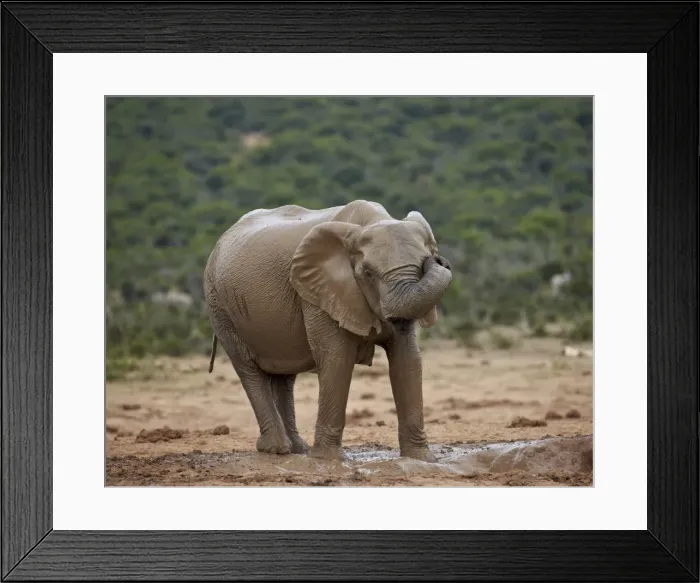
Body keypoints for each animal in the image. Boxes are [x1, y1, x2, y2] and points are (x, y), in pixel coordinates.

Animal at [203, 199, 453, 463]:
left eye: (422, 264)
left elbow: (407, 359)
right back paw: (276, 450)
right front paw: (327, 460)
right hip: (219, 304)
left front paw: (421, 460)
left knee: (284, 376)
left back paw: (297, 449)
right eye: (367, 274)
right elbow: (337, 359)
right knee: (248, 368)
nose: (439, 260)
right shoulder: (318, 293)